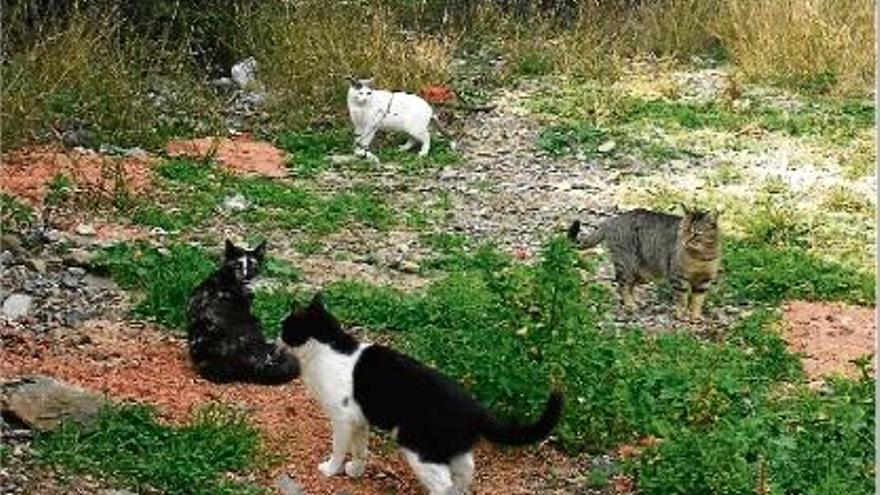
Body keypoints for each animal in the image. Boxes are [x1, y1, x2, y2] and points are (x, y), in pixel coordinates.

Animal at [278, 294, 560, 495]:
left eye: (284, 327)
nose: (276, 338)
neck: (330, 348)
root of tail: (474, 407)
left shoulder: (343, 419)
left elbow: (339, 448)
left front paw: (330, 469)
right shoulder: (359, 420)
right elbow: (360, 449)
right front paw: (356, 471)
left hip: (419, 446)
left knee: (443, 485)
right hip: (453, 448)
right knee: (465, 473)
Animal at [572, 207, 720, 320]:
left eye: (695, 234)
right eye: (683, 230)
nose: (684, 241)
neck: (700, 256)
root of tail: (613, 220)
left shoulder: (704, 282)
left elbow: (697, 301)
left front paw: (695, 317)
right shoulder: (678, 278)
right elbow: (681, 299)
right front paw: (681, 315)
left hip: (641, 273)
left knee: (630, 286)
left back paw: (636, 301)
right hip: (626, 265)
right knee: (622, 286)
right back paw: (630, 304)